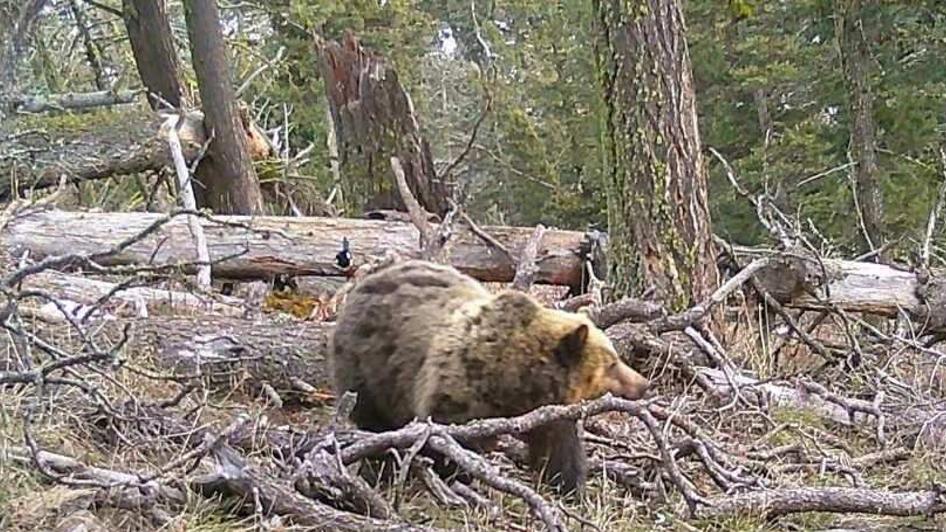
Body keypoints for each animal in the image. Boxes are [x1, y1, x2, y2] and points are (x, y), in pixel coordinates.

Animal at [329, 259, 650, 495]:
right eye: (612, 363)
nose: (643, 384)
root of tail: (362, 285)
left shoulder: (550, 413)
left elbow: (559, 449)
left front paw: (568, 486)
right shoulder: (457, 392)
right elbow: (449, 441)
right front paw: (456, 477)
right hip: (369, 369)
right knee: (374, 421)